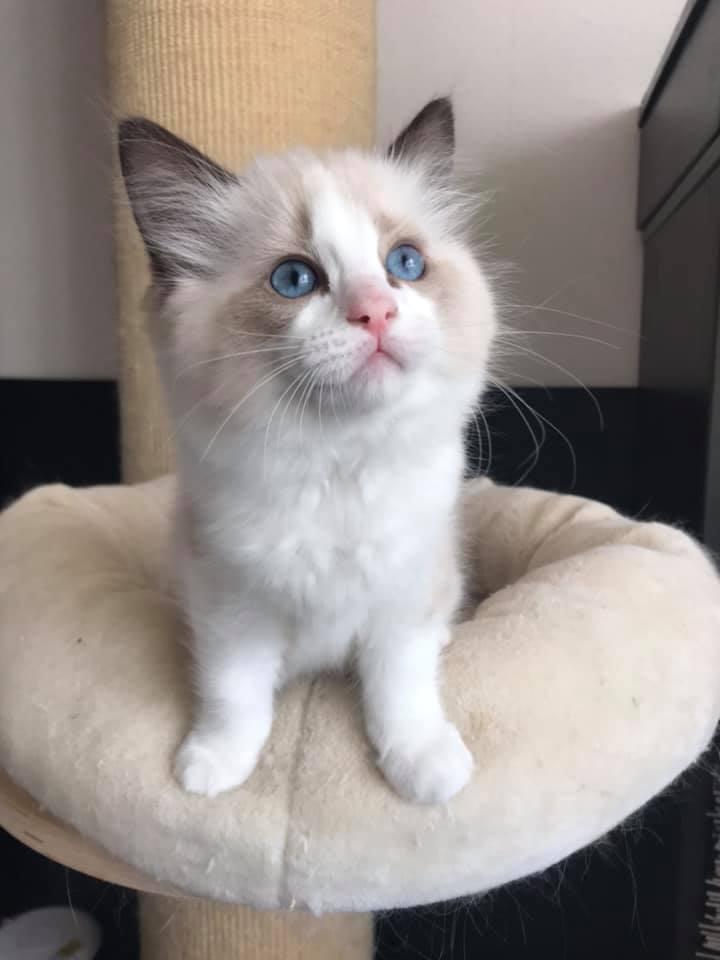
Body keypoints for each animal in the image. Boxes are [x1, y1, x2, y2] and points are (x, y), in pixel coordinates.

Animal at [119, 98, 497, 805]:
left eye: (405, 264)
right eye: (294, 279)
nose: (376, 312)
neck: (337, 466)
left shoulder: (407, 592)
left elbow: (401, 689)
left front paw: (424, 768)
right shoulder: (229, 604)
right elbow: (235, 694)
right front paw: (213, 768)